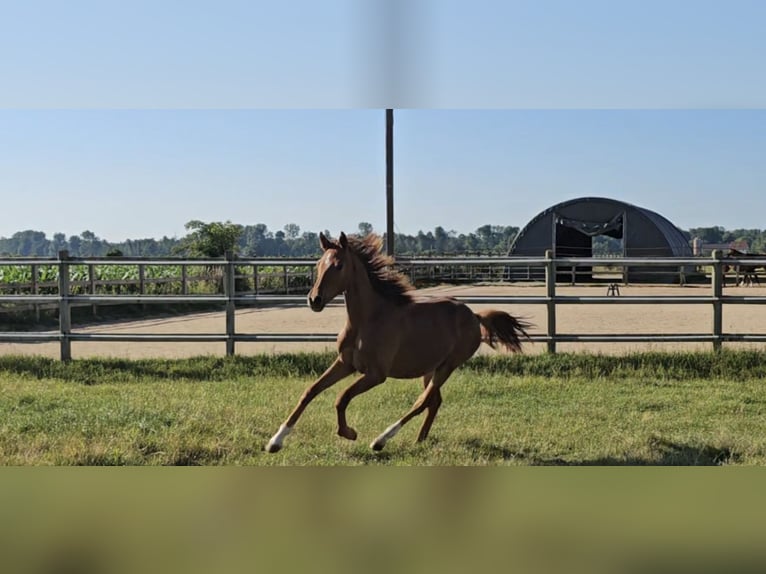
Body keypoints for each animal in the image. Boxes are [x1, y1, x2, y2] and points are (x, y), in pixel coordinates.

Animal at [265, 232, 531, 453]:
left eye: (338, 265)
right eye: (318, 265)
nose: (314, 300)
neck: (368, 320)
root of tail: (475, 316)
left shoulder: (376, 374)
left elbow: (342, 397)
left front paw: (349, 433)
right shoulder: (344, 363)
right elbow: (310, 391)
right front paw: (275, 442)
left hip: (448, 366)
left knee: (422, 401)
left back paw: (380, 440)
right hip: (430, 368)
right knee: (434, 402)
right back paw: (419, 440)